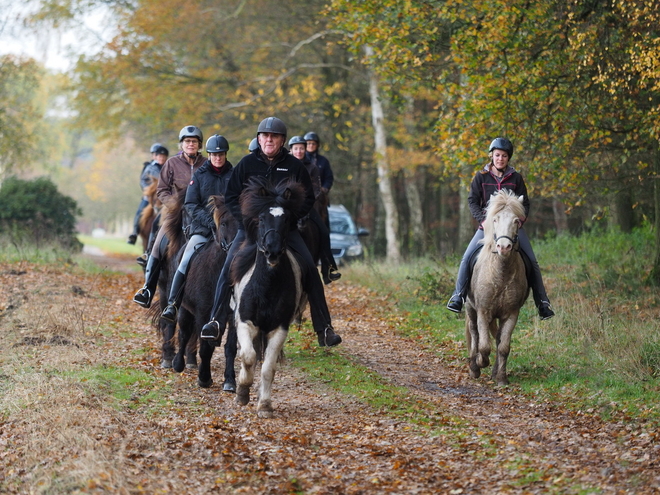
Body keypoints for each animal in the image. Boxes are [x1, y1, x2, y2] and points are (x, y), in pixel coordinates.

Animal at [231, 178, 308, 418]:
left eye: (287, 219)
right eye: (262, 218)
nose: (272, 251)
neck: (267, 286)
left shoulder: (279, 329)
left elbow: (268, 367)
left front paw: (264, 405)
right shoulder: (245, 323)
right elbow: (248, 357)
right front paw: (242, 392)